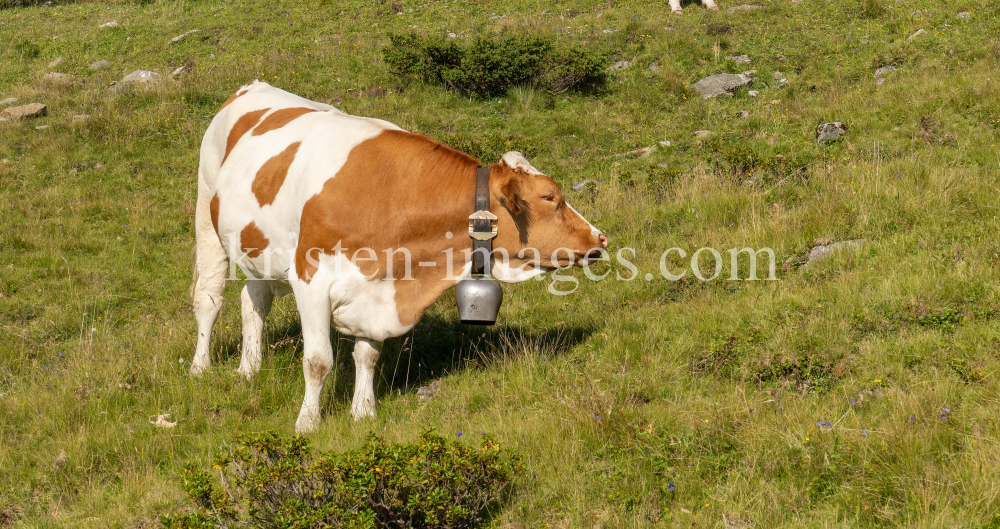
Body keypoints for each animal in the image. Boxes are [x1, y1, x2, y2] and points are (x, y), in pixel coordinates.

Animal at [190, 80, 604, 432]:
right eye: (550, 197)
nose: (599, 237)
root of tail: (252, 86)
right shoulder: (311, 280)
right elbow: (318, 361)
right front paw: (308, 423)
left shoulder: (378, 289)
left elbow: (367, 356)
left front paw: (363, 412)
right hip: (206, 214)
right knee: (209, 299)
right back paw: (200, 367)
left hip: (257, 247)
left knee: (253, 300)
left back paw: (248, 369)